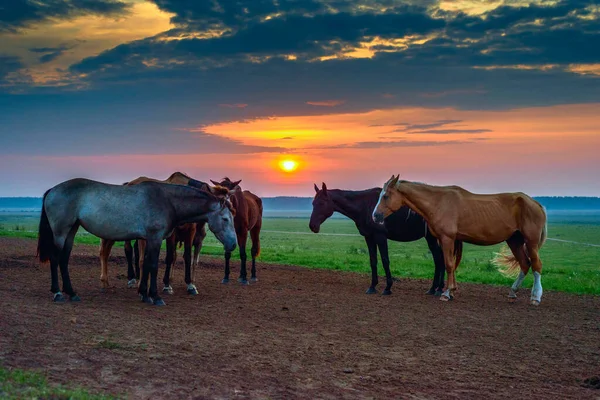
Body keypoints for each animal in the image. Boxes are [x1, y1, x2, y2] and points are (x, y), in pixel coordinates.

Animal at [35, 178, 239, 306]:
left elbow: (146, 264)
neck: (167, 201)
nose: (233, 244)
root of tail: (52, 190)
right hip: (60, 232)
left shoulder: (148, 239)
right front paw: (155, 296)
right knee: (55, 258)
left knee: (64, 259)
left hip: (71, 230)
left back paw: (72, 293)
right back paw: (58, 293)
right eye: (225, 219)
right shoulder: (155, 238)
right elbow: (153, 265)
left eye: (233, 217)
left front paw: (144, 294)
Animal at [310, 183, 446, 296]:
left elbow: (385, 261)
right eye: (313, 203)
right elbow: (373, 261)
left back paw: (438, 289)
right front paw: (372, 287)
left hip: (433, 238)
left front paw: (387, 288)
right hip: (432, 238)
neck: (365, 206)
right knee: (439, 259)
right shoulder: (369, 237)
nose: (312, 226)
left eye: (321, 203)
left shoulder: (380, 236)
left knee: (439, 259)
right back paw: (435, 289)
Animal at [376, 176, 548, 306]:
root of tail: (535, 203)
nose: (375, 215)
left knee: (536, 265)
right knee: (525, 264)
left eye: (385, 196)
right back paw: (512, 293)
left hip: (531, 242)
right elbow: (451, 264)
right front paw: (451, 291)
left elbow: (448, 264)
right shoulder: (448, 240)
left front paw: (446, 293)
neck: (439, 202)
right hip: (514, 241)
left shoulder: (447, 238)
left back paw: (535, 297)